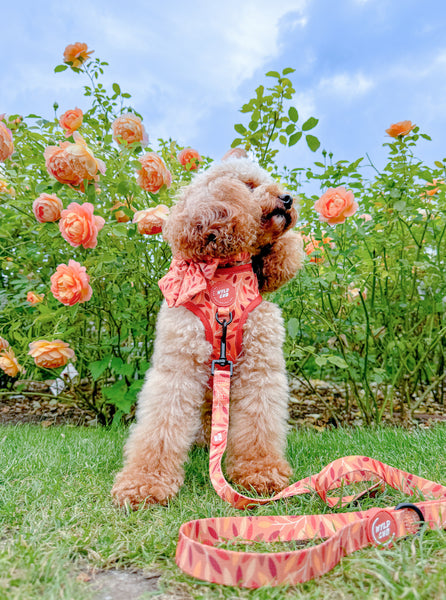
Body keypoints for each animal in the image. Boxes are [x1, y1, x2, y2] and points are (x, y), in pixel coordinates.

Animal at [111, 156, 304, 506]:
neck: (225, 278)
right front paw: (144, 484)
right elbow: (162, 424)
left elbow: (259, 421)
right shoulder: (179, 366)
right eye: (248, 186)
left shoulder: (260, 368)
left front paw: (261, 473)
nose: (287, 199)